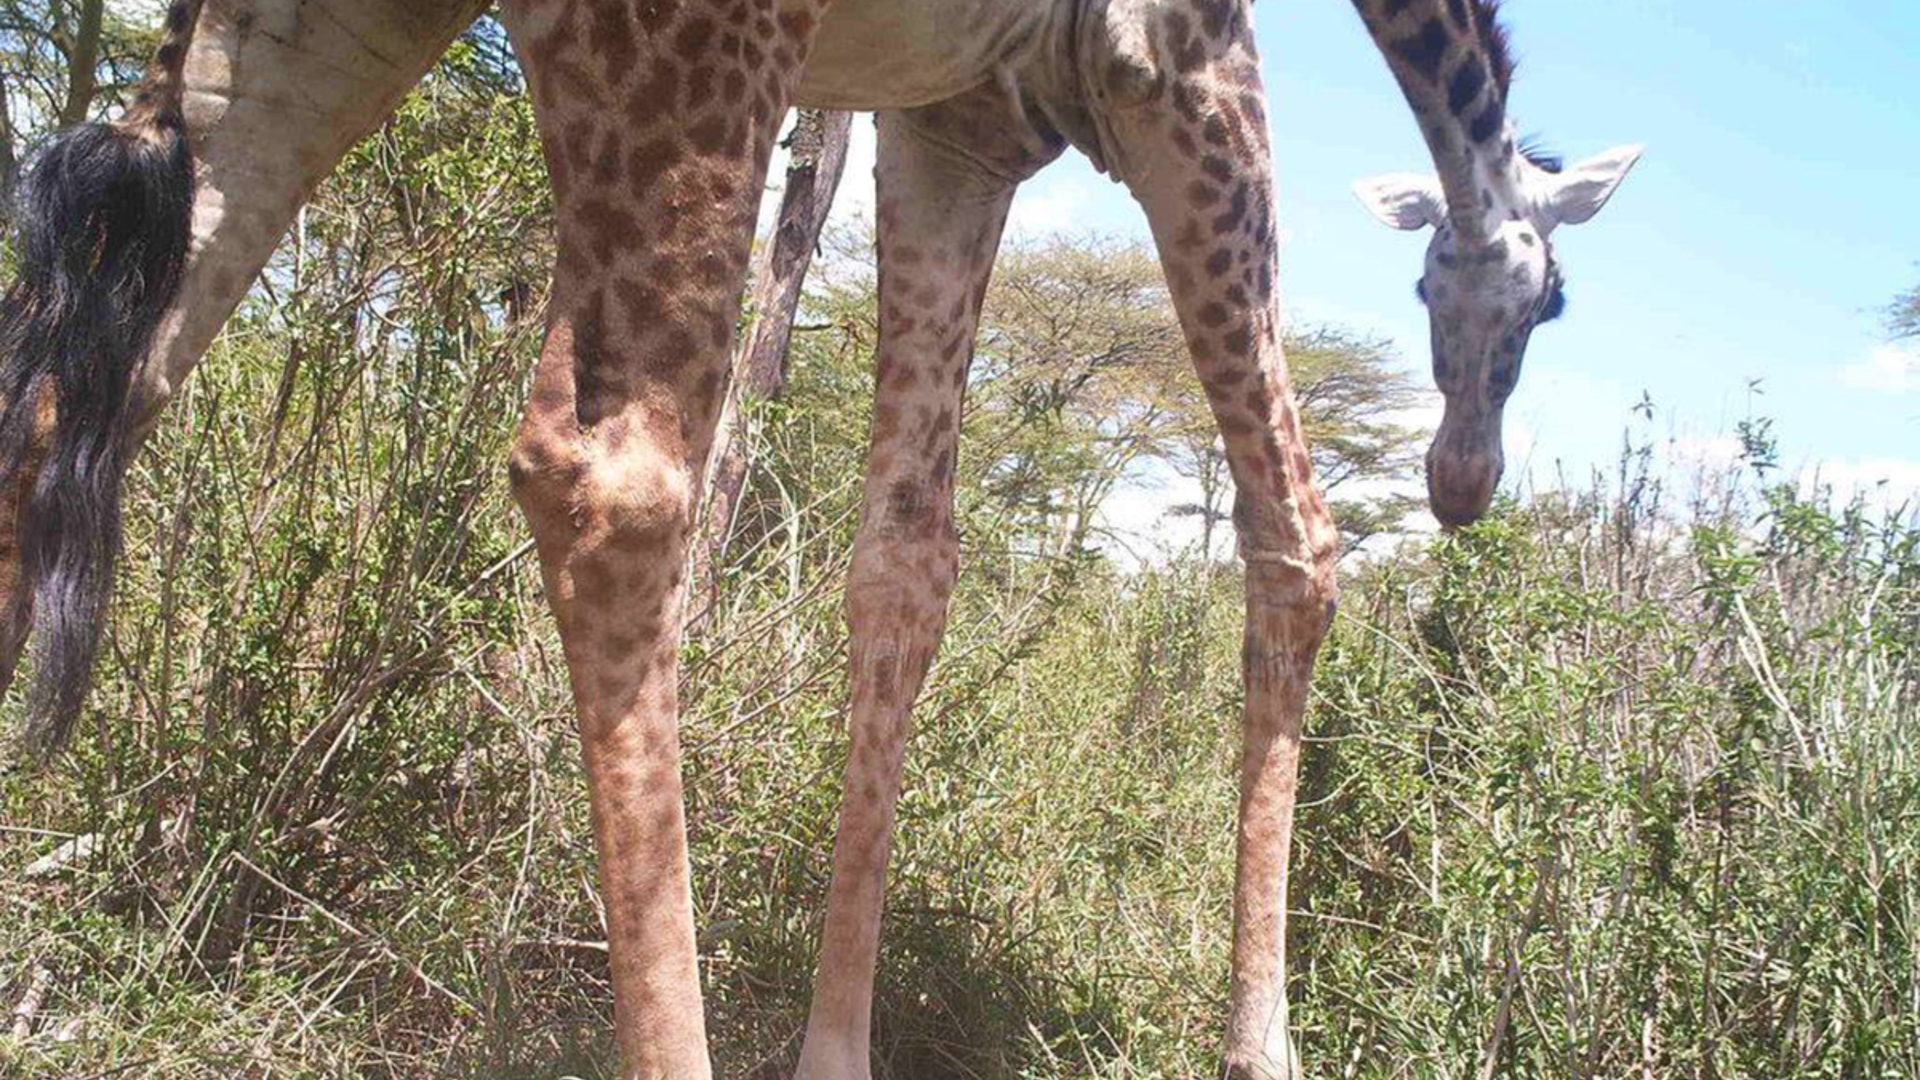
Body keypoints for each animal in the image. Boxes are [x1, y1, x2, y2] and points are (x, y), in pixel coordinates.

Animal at [0, 2, 1643, 1076]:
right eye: (1548, 301)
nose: (1462, 481)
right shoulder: (1182, 65)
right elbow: (1298, 535)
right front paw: (1263, 1048)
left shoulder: (954, 125)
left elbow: (905, 561)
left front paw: (835, 1048)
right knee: (614, 479)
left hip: (305, 35)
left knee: (75, 391)